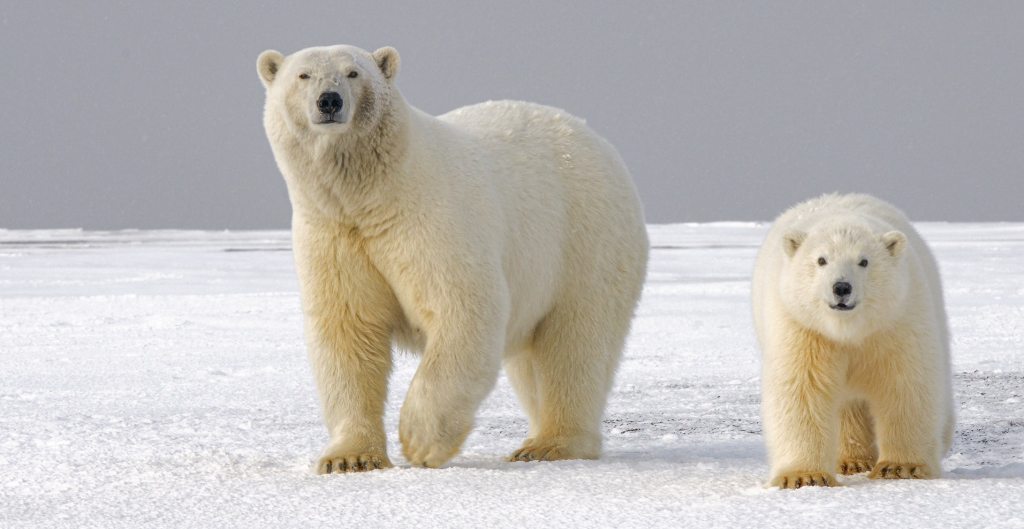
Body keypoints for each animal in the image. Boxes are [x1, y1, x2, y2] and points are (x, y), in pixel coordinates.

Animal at [256, 45, 649, 472]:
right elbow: (348, 331)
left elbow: (463, 308)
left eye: (353, 73)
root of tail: (597, 139)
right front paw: (349, 458)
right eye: (303, 75)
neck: (374, 195)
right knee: (533, 361)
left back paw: (550, 444)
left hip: (584, 240)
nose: (329, 100)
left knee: (575, 343)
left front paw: (420, 441)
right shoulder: (333, 234)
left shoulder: (430, 219)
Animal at [751, 193, 954, 488]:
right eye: (821, 260)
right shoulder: (803, 328)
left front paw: (900, 467)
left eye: (864, 261)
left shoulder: (896, 321)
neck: (849, 330)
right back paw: (852, 460)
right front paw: (804, 476)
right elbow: (802, 389)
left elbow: (905, 384)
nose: (841, 287)